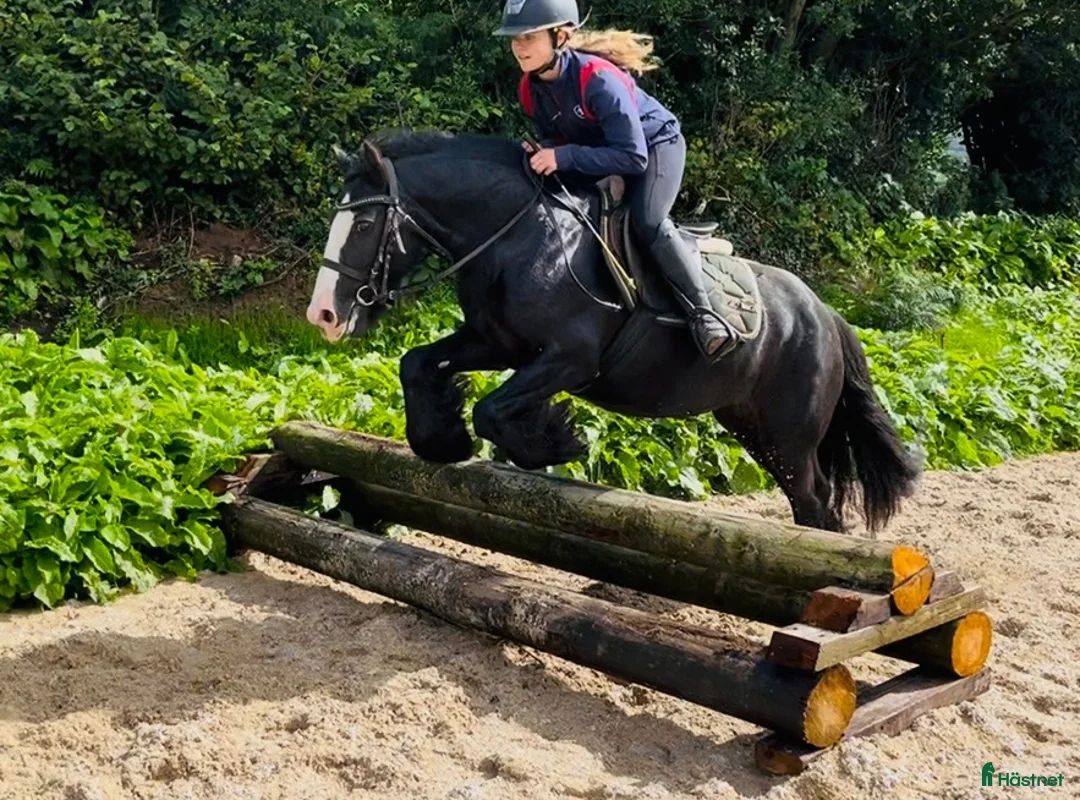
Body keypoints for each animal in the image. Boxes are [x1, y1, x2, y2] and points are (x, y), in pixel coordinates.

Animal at [305, 130, 921, 533]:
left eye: (365, 222)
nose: (323, 316)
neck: (518, 237)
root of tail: (828, 316)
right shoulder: (496, 344)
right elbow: (416, 365)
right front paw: (445, 439)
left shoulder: (569, 359)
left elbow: (493, 409)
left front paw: (555, 440)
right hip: (750, 426)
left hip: (791, 437)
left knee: (815, 505)